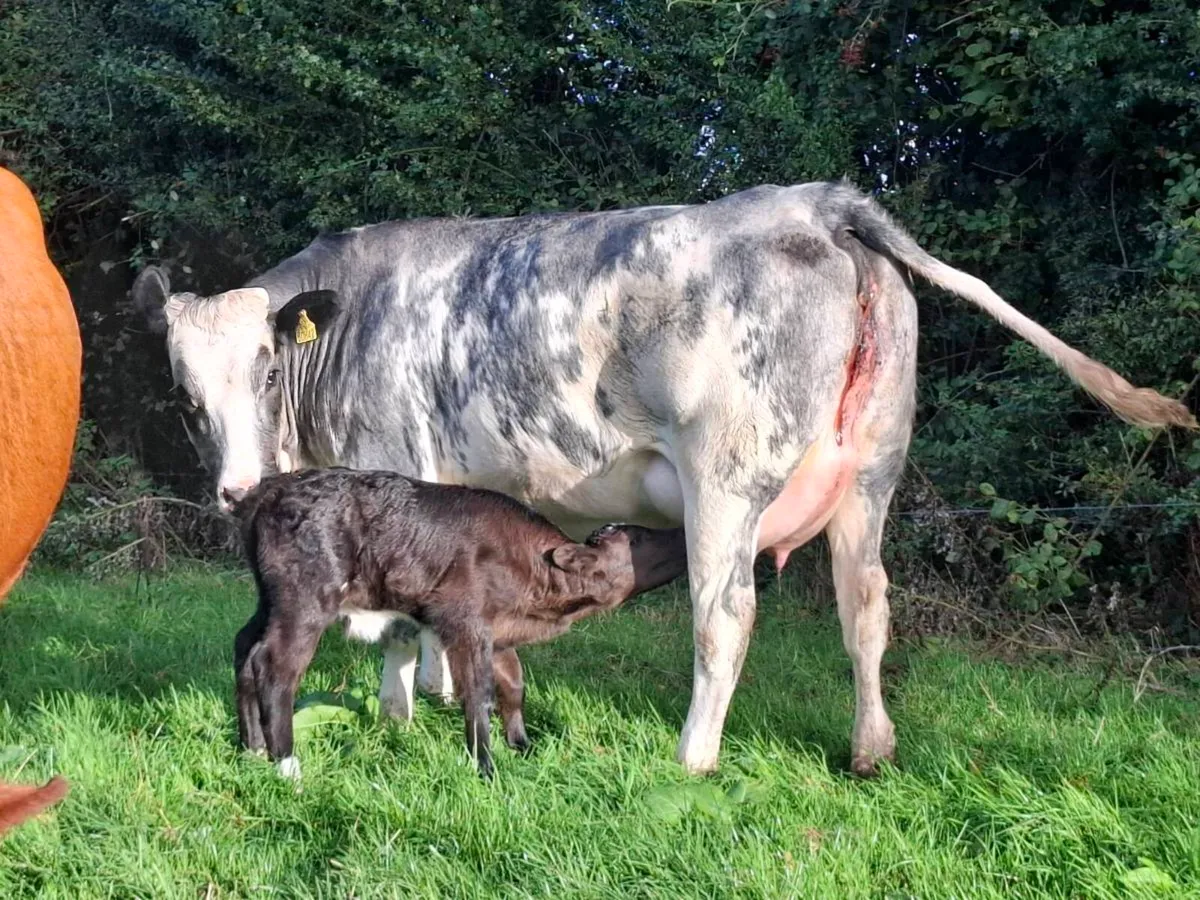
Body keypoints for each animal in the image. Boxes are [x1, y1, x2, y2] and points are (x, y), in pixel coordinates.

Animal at [133, 180, 1195, 776]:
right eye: (183, 390)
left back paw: (693, 758)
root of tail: (820, 201)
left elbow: (392, 623)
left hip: (726, 478)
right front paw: (435, 695)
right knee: (867, 610)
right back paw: (871, 751)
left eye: (266, 368)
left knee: (725, 617)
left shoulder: (392, 461)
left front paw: (399, 710)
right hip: (872, 475)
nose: (232, 489)